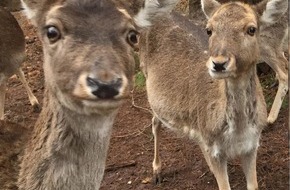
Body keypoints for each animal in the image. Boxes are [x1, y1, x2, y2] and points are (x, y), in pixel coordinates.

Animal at [138, 0, 288, 189]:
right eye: (209, 30)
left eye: (251, 29)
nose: (219, 63)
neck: (238, 132)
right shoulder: (216, 149)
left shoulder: (252, 144)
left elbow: (253, 185)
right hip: (146, 78)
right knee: (155, 121)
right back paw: (157, 171)